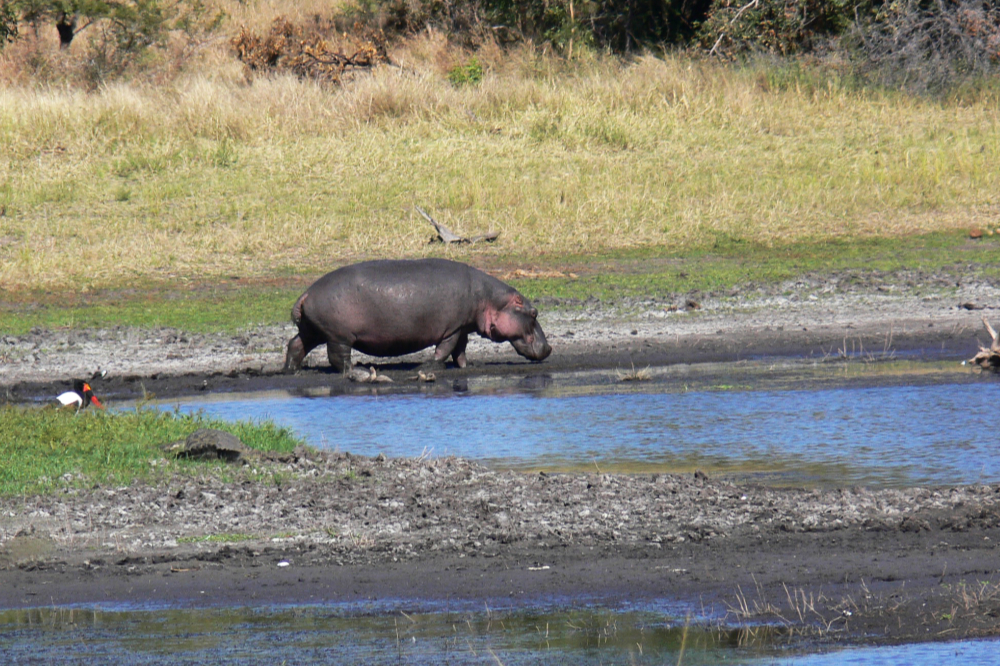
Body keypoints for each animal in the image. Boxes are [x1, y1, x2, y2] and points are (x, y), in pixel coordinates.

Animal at [283, 259, 552, 373]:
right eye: (534, 312)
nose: (549, 348)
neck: (489, 298)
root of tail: (306, 293)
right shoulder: (453, 328)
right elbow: (446, 349)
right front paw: (428, 365)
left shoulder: (462, 327)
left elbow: (461, 350)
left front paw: (467, 365)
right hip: (338, 336)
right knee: (339, 359)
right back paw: (358, 372)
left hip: (313, 330)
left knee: (295, 344)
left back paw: (291, 370)